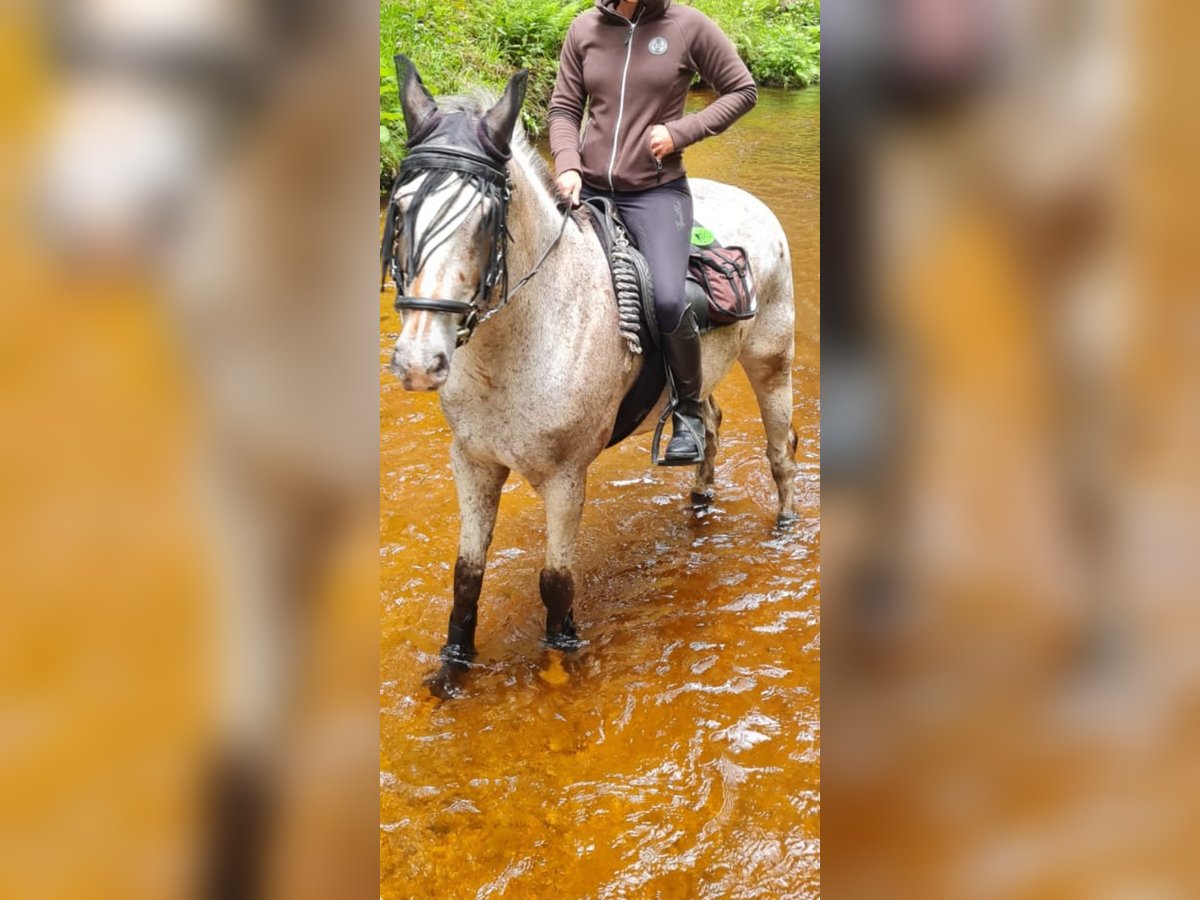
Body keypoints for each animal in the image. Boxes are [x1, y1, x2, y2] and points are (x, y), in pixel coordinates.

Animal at [386, 60, 796, 696]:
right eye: (401, 209)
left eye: (486, 219)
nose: (417, 360)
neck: (521, 342)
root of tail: (751, 202)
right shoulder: (473, 462)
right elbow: (466, 576)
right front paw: (451, 673)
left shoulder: (564, 477)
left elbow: (556, 584)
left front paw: (561, 666)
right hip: (706, 377)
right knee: (708, 421)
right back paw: (700, 499)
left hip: (772, 360)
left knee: (781, 448)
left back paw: (784, 526)